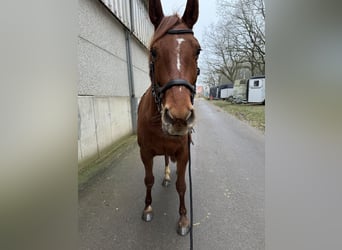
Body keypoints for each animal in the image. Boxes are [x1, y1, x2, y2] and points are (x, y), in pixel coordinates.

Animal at [137, 0, 200, 236]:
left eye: (198, 50)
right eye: (154, 52)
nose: (179, 116)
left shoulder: (183, 154)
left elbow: (182, 185)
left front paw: (183, 220)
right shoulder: (145, 153)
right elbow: (148, 180)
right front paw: (147, 207)